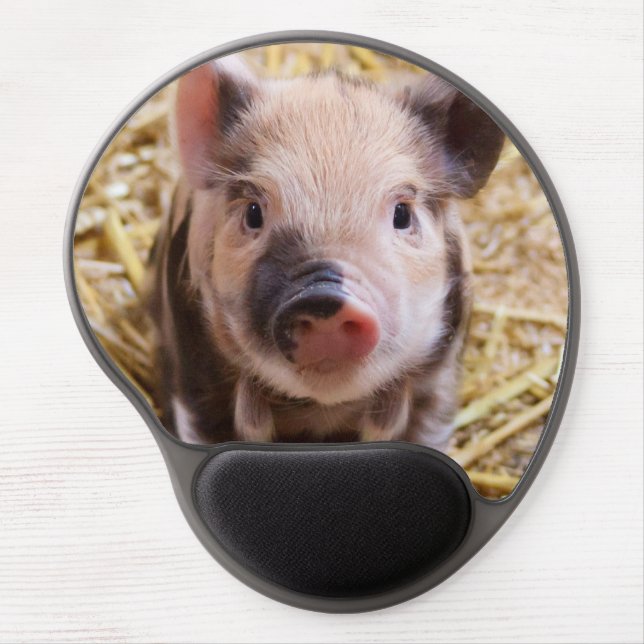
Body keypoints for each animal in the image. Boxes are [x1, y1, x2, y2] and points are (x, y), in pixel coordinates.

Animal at [147, 54, 504, 448]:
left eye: (402, 214)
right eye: (253, 213)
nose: (324, 296)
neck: (322, 412)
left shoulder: (440, 378)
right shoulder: (194, 375)